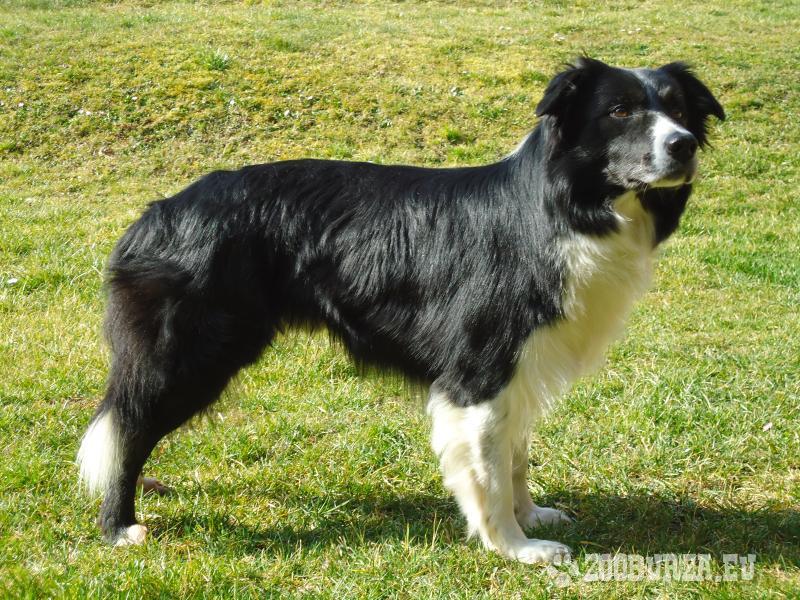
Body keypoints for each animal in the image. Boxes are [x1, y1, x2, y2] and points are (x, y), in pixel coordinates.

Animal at [78, 57, 724, 563]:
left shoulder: (519, 369)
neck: (559, 207)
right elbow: (489, 471)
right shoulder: (479, 371)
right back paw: (120, 527)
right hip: (191, 354)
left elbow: (515, 456)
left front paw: (531, 516)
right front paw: (515, 547)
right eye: (618, 111)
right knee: (127, 429)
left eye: (678, 109)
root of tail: (157, 212)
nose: (684, 145)